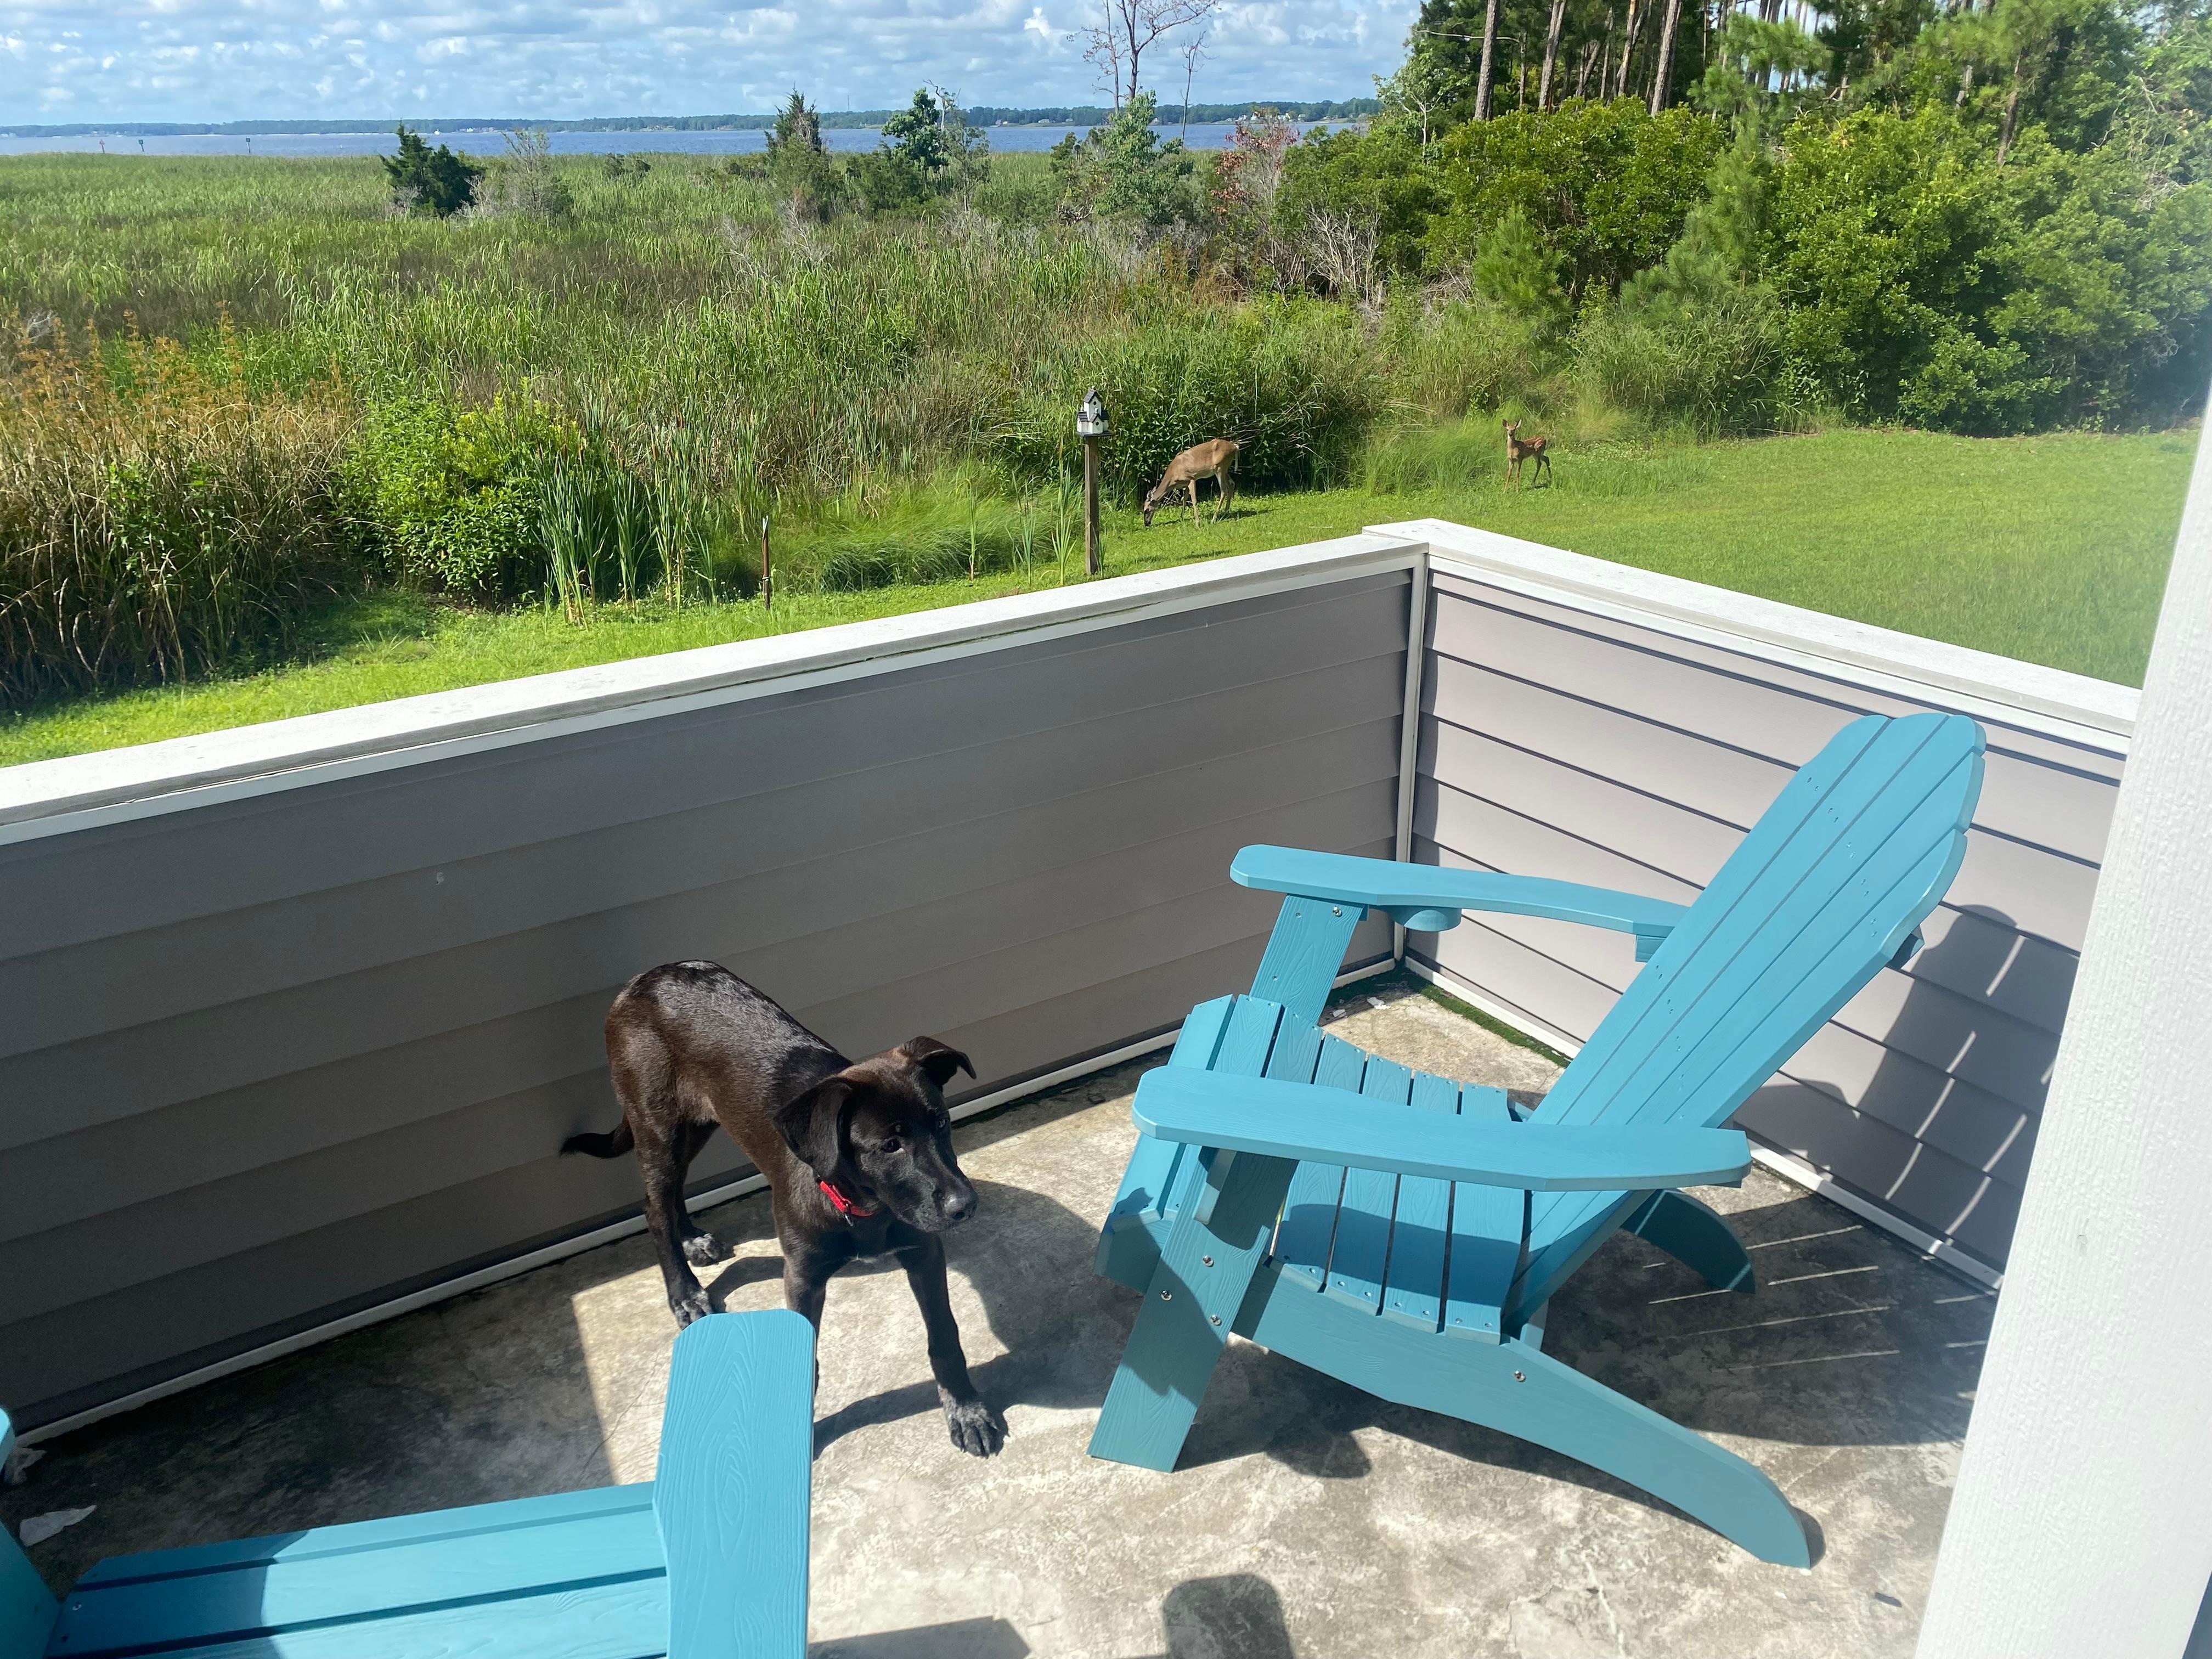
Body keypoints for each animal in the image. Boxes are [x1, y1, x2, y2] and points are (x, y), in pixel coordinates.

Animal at [563, 961, 1008, 1457]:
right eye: (890, 1146)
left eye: (943, 1123)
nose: (964, 1205)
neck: (861, 1206)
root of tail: (643, 979)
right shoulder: (802, 1278)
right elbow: (804, 1361)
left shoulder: (924, 1252)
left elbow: (944, 1335)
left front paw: (966, 1410)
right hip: (658, 1126)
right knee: (653, 1207)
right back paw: (685, 1293)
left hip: (698, 1123)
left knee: (676, 1189)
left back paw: (693, 1239)